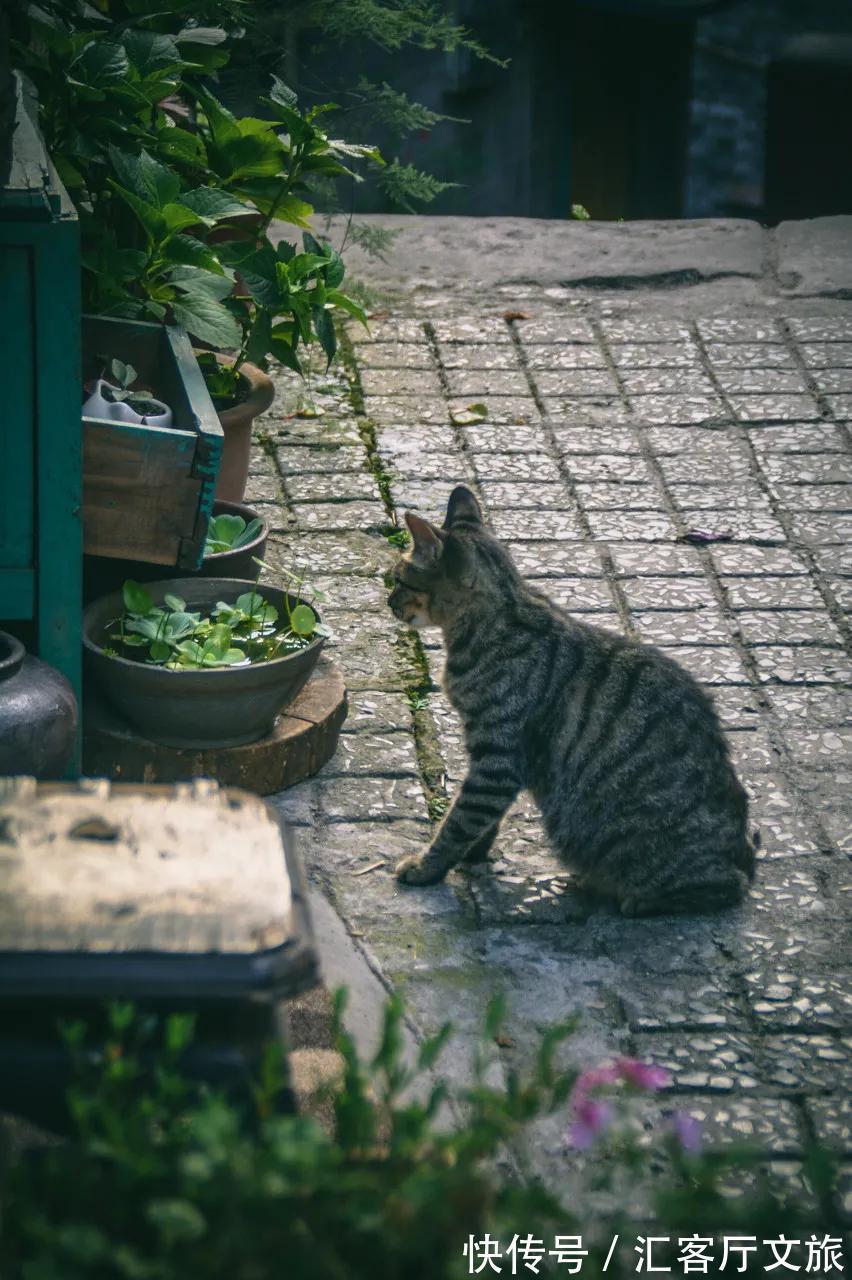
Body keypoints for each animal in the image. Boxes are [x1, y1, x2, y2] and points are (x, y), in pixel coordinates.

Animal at [388, 483, 752, 916]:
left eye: (400, 581)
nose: (389, 602)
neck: (495, 621)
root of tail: (742, 853)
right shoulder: (499, 762)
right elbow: (484, 820)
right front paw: (473, 855)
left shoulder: (497, 756)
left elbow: (461, 819)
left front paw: (428, 866)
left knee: (723, 889)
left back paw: (636, 900)